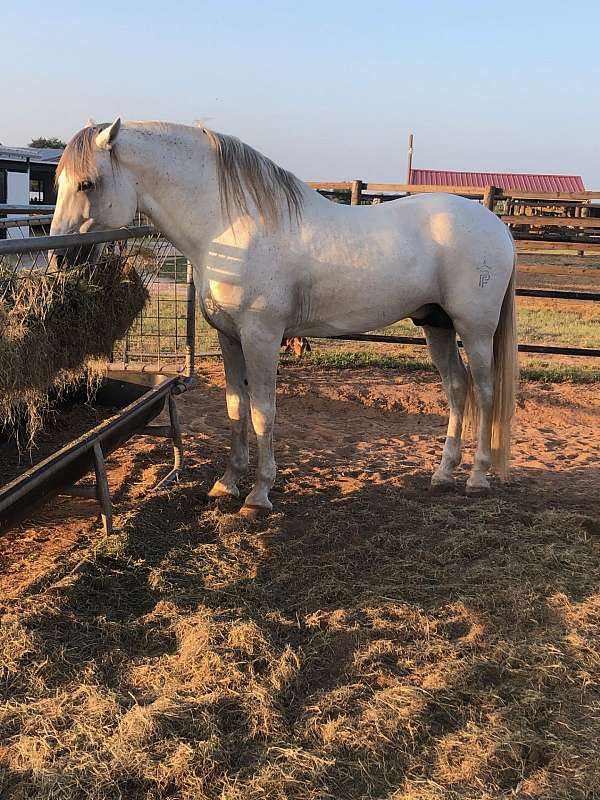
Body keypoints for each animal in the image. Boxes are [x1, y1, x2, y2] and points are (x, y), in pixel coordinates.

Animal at [50, 118, 518, 515]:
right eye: (58, 183)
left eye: (87, 183)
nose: (60, 258)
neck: (231, 226)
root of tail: (497, 226)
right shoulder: (229, 337)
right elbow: (235, 407)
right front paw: (227, 483)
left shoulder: (261, 336)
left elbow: (263, 411)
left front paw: (258, 494)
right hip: (437, 325)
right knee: (457, 389)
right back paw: (443, 474)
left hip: (474, 329)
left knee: (485, 391)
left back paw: (477, 478)